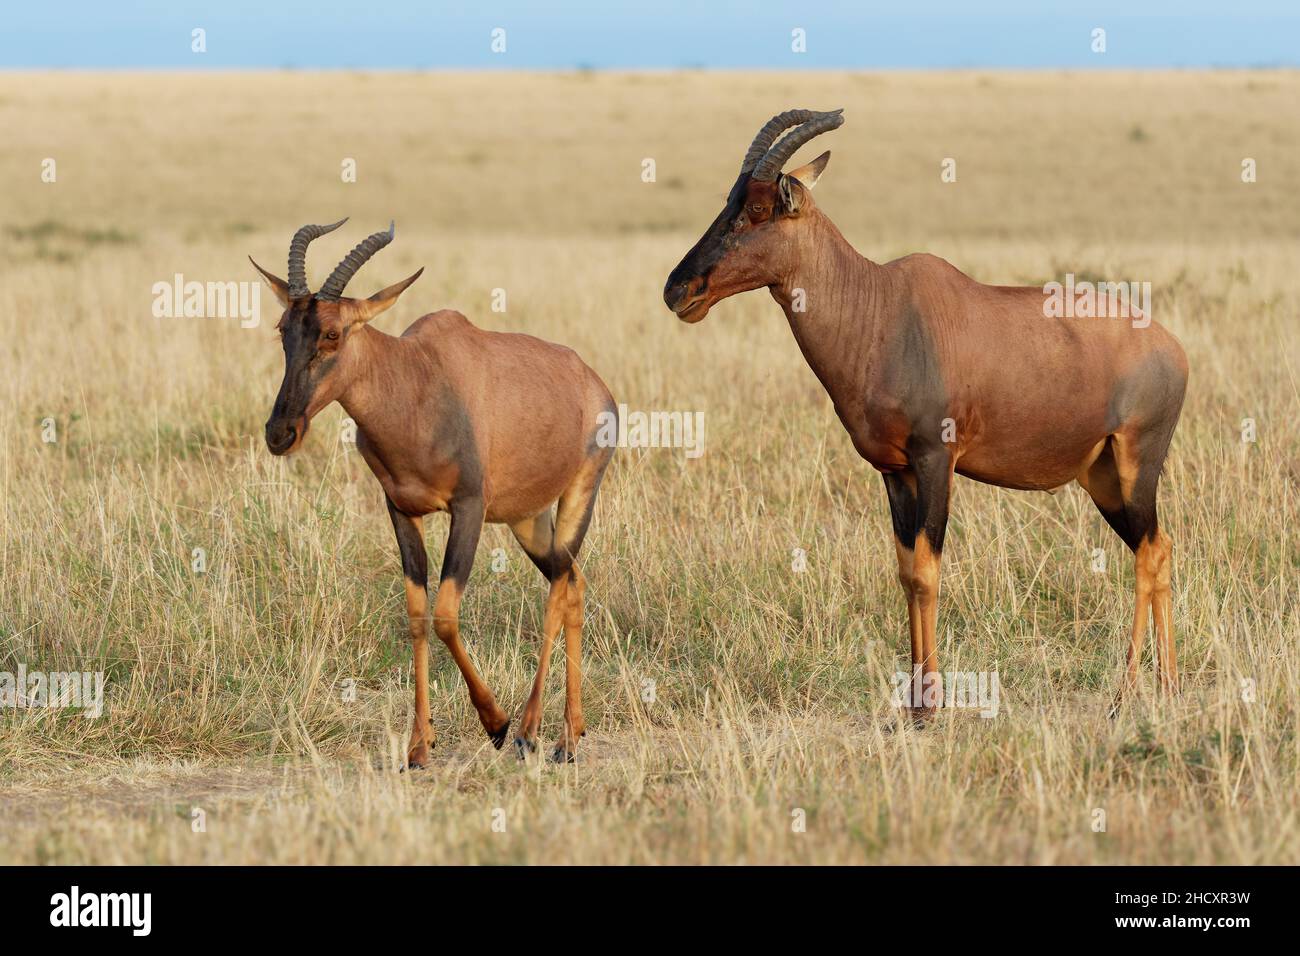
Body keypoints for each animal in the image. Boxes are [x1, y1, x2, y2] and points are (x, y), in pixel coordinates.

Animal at [257, 218, 618, 764]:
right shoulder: (401, 510)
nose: (281, 433)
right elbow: (417, 614)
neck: (417, 378)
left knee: (558, 590)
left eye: (333, 333)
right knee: (572, 582)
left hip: (579, 493)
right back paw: (569, 737)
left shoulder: (468, 508)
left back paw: (529, 730)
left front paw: (495, 723)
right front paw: (417, 747)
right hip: (527, 518)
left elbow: (446, 614)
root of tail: (595, 383)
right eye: (283, 330)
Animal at [670, 110, 1190, 717]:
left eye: (757, 209)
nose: (678, 290)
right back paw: (1163, 686)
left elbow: (926, 571)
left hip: (1136, 466)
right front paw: (915, 703)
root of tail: (1172, 347)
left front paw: (931, 705)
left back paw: (1132, 690)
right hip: (1101, 478)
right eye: (727, 200)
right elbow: (904, 572)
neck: (882, 307)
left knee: (1152, 551)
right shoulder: (894, 471)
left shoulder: (936, 459)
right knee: (1157, 549)